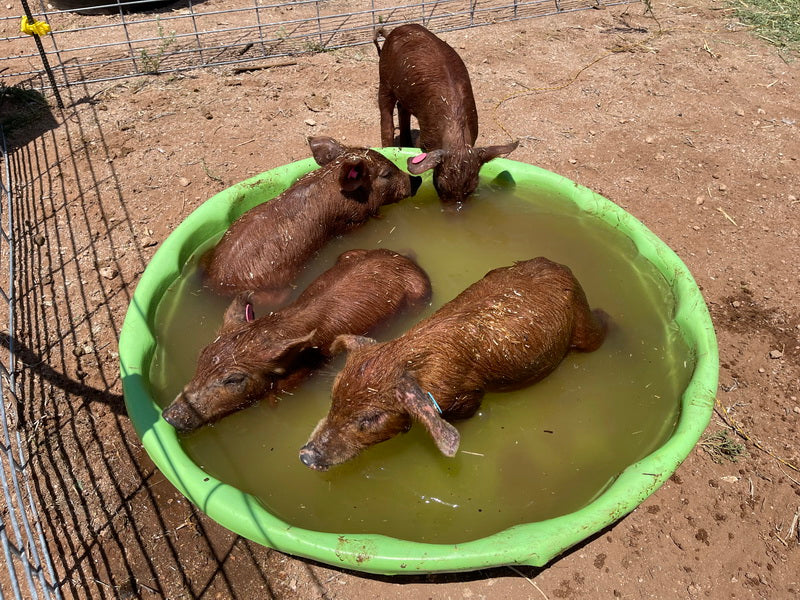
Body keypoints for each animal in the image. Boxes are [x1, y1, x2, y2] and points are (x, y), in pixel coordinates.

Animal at [298, 256, 608, 468]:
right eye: (333, 397)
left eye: (371, 418)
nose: (305, 455)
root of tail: (559, 266)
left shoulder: (468, 395)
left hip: (584, 328)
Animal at [376, 24, 520, 204]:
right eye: (441, 185)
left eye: (472, 188)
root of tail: (395, 30)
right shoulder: (426, 135)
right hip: (384, 79)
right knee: (386, 114)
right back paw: (387, 147)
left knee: (403, 109)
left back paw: (405, 144)